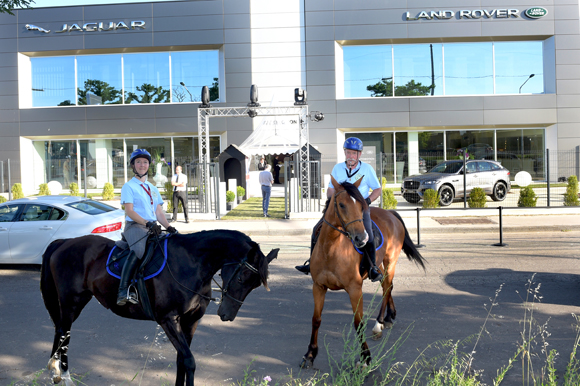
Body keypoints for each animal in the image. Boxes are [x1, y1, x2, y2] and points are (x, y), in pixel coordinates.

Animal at [40, 229, 278, 386]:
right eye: (242, 277)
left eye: (254, 285)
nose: (227, 315)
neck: (190, 263)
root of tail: (64, 242)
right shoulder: (167, 320)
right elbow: (189, 360)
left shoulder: (190, 320)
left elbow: (182, 359)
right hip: (72, 302)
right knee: (65, 334)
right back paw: (65, 376)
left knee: (60, 331)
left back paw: (55, 372)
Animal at [302, 175, 424, 368]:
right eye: (342, 204)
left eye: (361, 206)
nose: (362, 238)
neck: (331, 248)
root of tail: (391, 213)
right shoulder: (318, 287)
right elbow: (316, 319)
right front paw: (310, 354)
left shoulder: (354, 289)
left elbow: (358, 323)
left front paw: (365, 357)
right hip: (380, 266)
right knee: (387, 285)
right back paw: (389, 316)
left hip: (391, 261)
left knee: (387, 287)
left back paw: (379, 323)